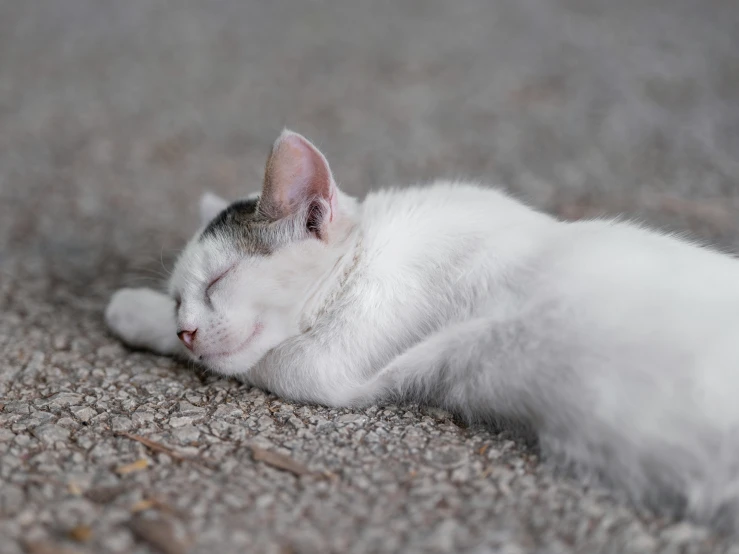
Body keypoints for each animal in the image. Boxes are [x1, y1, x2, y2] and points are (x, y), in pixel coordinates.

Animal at [107, 130, 739, 532]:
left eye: (220, 280)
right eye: (180, 299)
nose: (185, 329)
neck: (365, 255)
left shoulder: (325, 364)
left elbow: (259, 359)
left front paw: (132, 311)